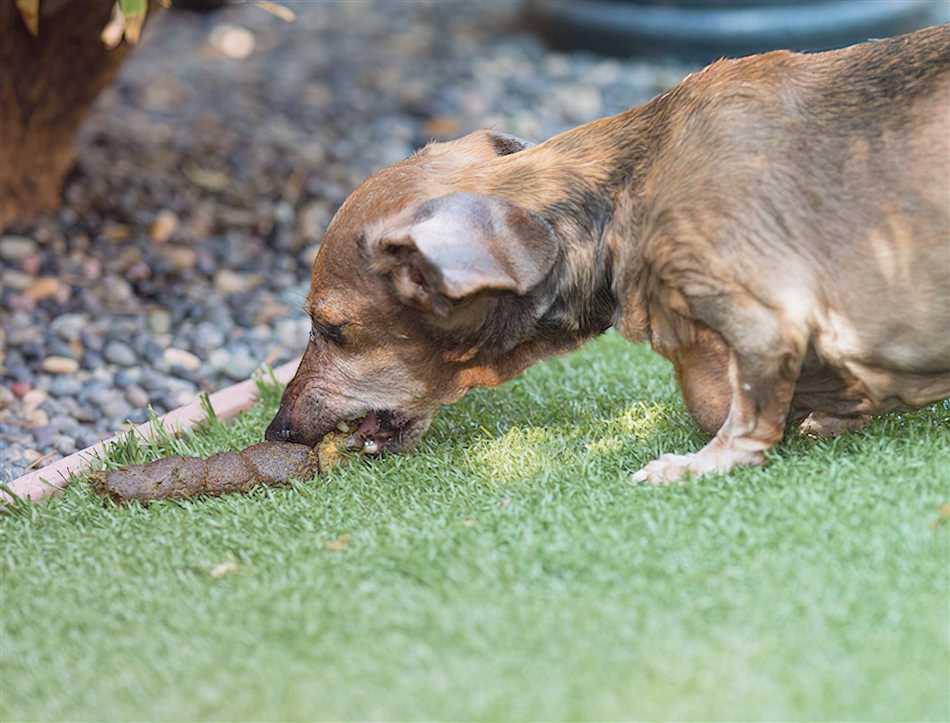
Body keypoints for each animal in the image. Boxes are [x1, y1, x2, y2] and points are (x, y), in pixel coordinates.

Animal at [268, 25, 950, 484]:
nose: (277, 430)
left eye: (332, 328)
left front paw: (695, 464)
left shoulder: (763, 319)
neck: (630, 186)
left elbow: (740, 416)